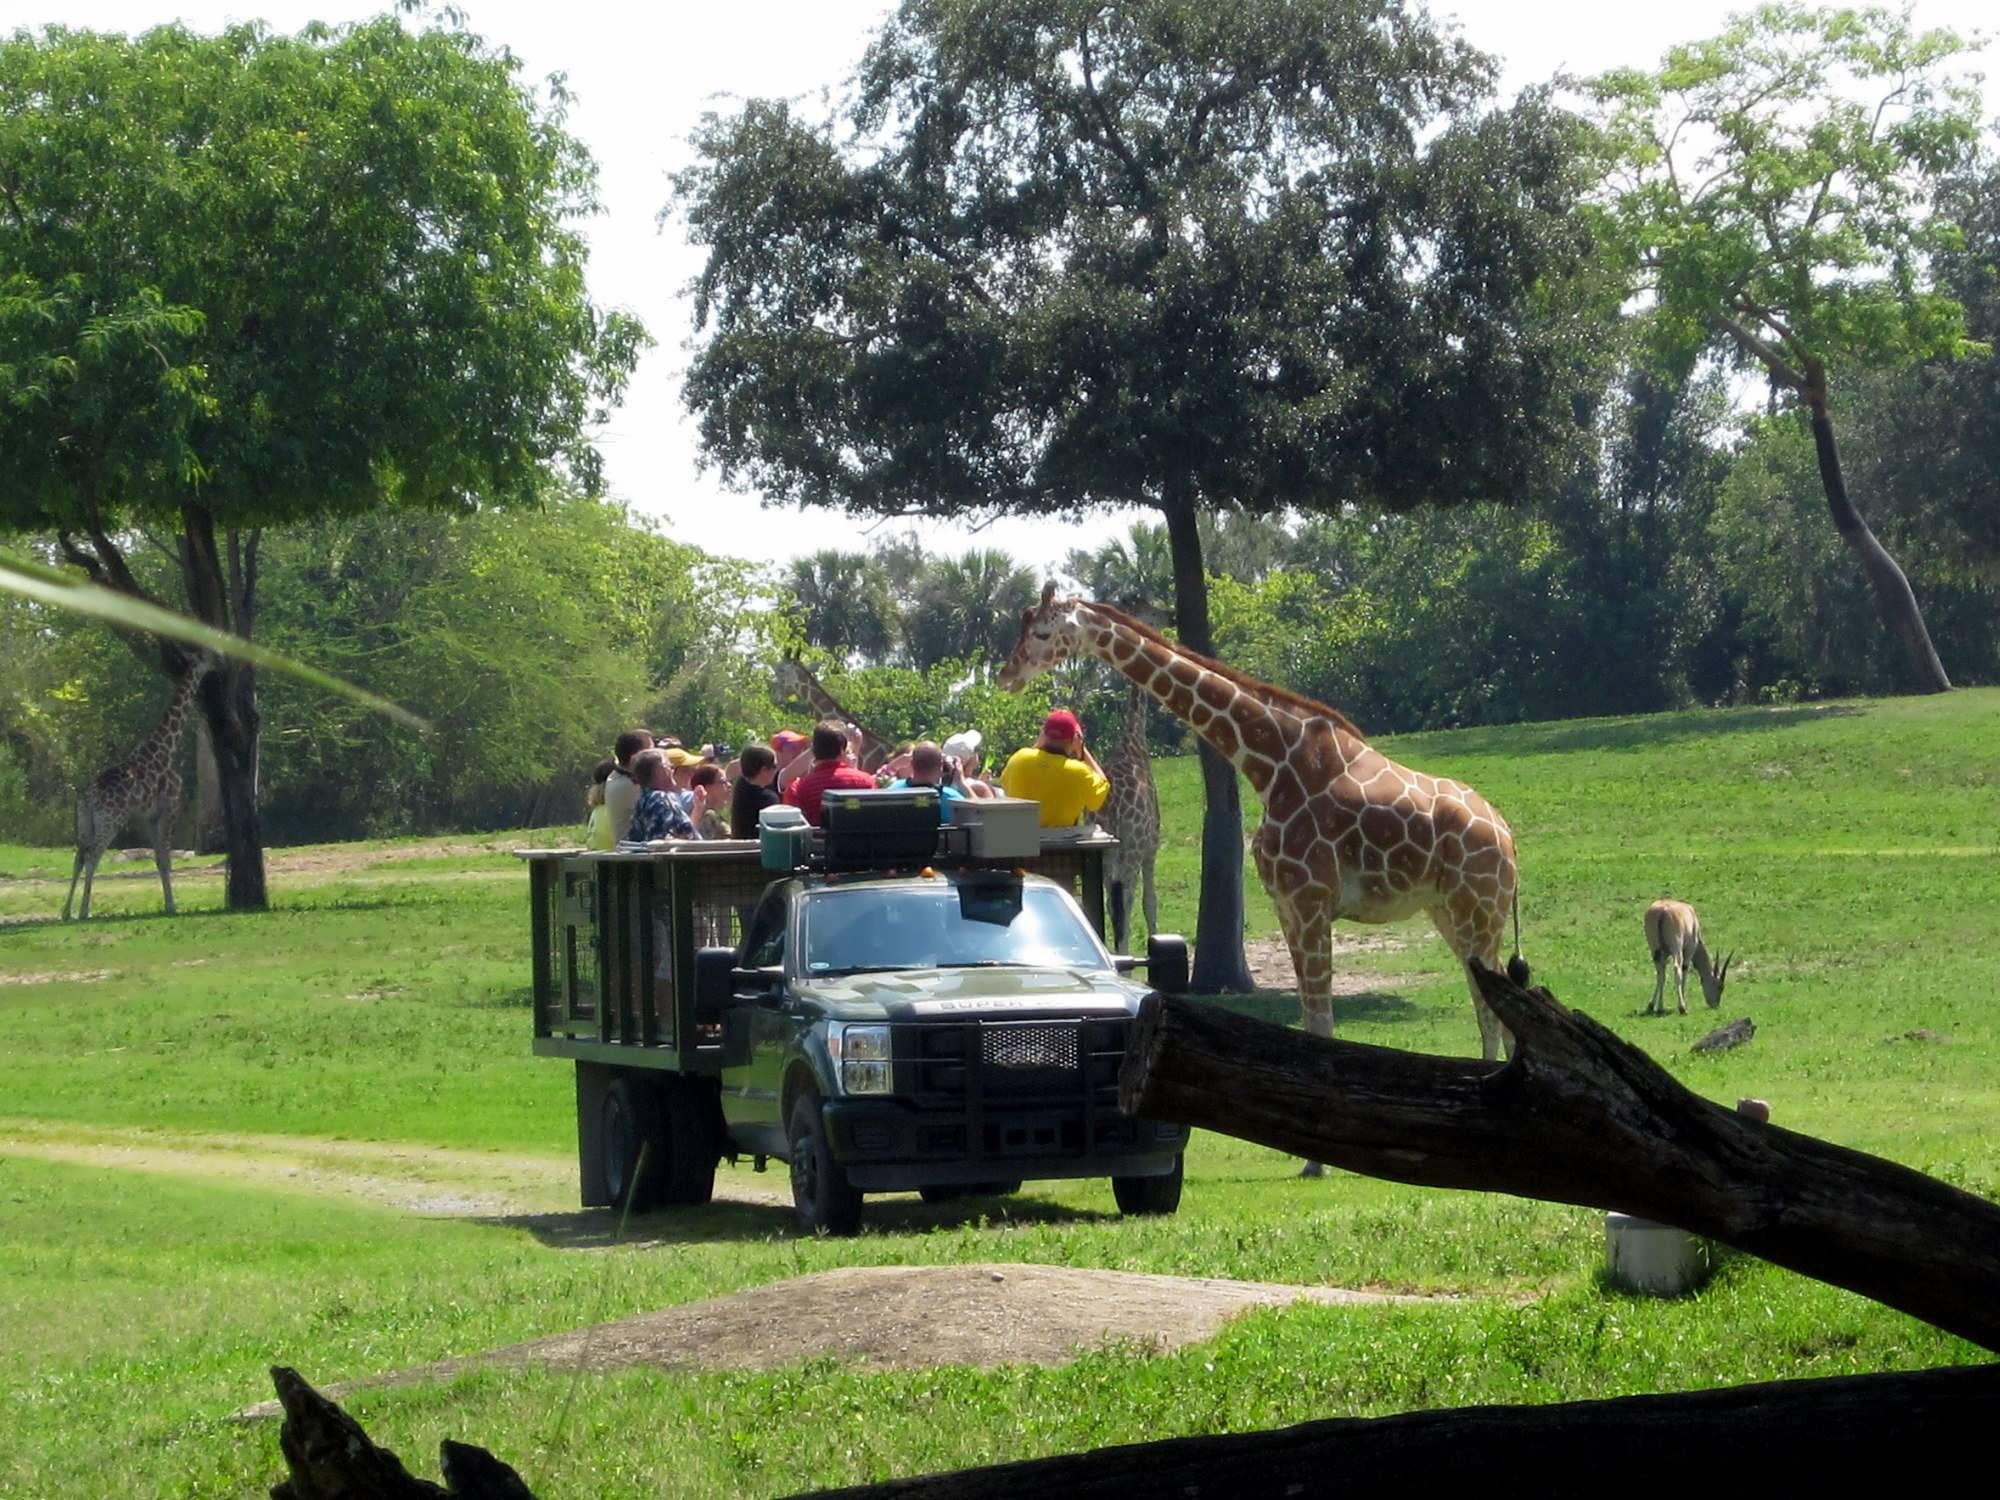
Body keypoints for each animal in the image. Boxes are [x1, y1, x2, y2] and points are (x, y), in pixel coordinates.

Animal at [63, 656, 215, 916]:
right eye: (208, 657)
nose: (218, 664)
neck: (166, 748)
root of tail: (89, 797)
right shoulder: (170, 807)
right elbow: (165, 859)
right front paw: (172, 906)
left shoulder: (149, 817)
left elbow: (159, 859)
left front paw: (168, 904)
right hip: (111, 819)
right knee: (93, 855)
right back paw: (84, 911)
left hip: (84, 820)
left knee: (79, 856)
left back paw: (66, 912)